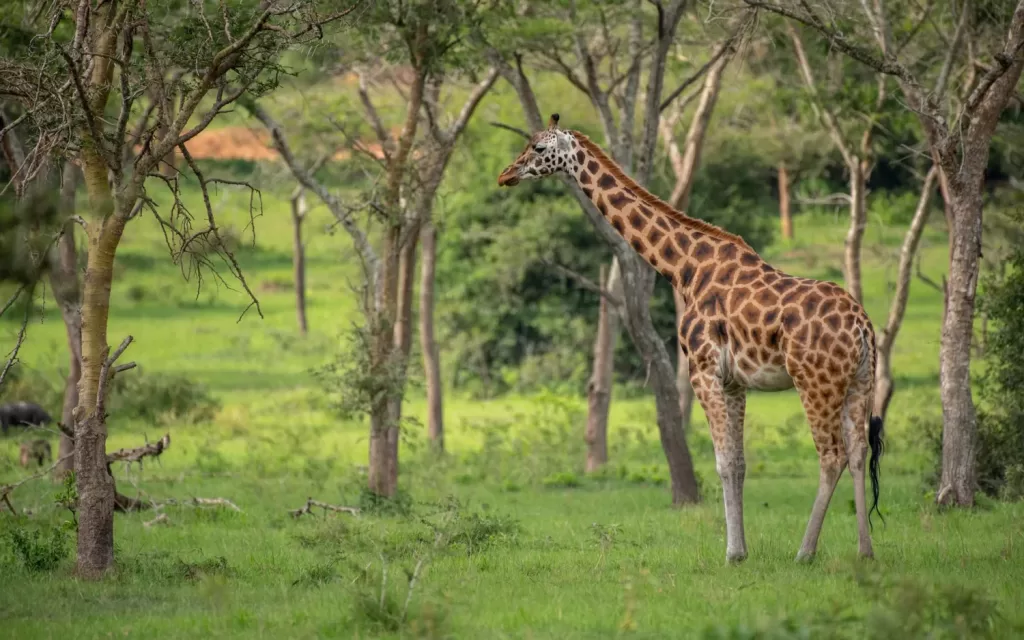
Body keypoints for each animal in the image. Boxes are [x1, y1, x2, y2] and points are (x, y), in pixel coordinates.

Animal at [499, 113, 884, 557]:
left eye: (539, 148)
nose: (505, 174)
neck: (683, 267)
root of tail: (863, 327)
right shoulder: (734, 381)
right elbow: (739, 462)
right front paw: (742, 549)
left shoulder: (702, 369)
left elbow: (722, 462)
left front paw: (732, 553)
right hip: (859, 380)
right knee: (858, 451)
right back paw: (865, 550)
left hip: (815, 381)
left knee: (831, 455)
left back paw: (805, 552)